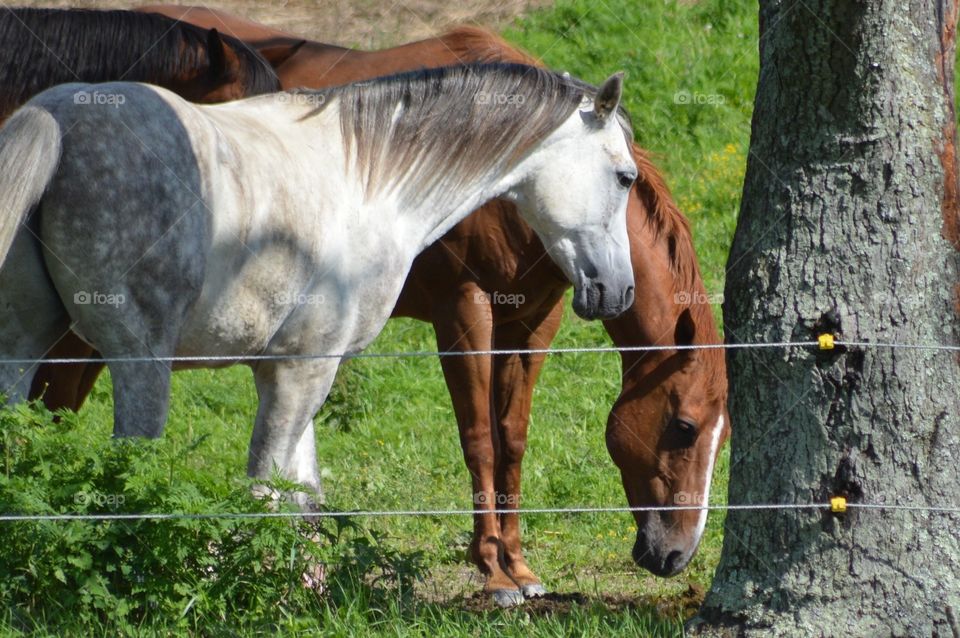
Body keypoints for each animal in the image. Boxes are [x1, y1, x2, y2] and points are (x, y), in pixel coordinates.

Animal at [30, 11, 732, 608]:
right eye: (684, 427)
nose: (676, 555)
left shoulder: (534, 321)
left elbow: (512, 438)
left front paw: (519, 566)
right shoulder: (463, 310)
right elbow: (478, 438)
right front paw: (492, 571)